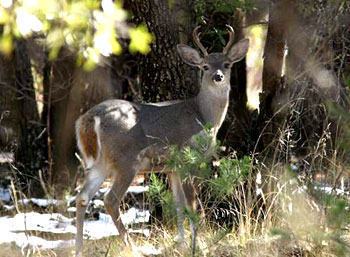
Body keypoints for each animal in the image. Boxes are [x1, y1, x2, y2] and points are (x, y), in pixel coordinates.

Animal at [74, 24, 249, 256]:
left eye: (227, 65)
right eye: (204, 66)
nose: (218, 76)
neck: (204, 117)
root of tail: (91, 117)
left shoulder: (172, 168)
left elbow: (178, 205)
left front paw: (182, 242)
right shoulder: (188, 158)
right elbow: (193, 206)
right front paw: (199, 244)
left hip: (101, 162)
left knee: (82, 196)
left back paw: (77, 249)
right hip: (126, 159)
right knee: (110, 199)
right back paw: (133, 247)